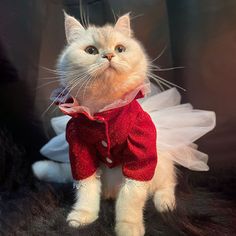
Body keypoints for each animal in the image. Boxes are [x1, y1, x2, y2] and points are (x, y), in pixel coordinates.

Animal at [32, 12, 216, 236]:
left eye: (120, 49)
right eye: (91, 51)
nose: (109, 56)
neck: (106, 112)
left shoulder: (140, 157)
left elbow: (131, 197)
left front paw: (129, 227)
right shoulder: (80, 152)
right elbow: (86, 189)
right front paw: (83, 216)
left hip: (161, 165)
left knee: (168, 183)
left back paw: (165, 203)